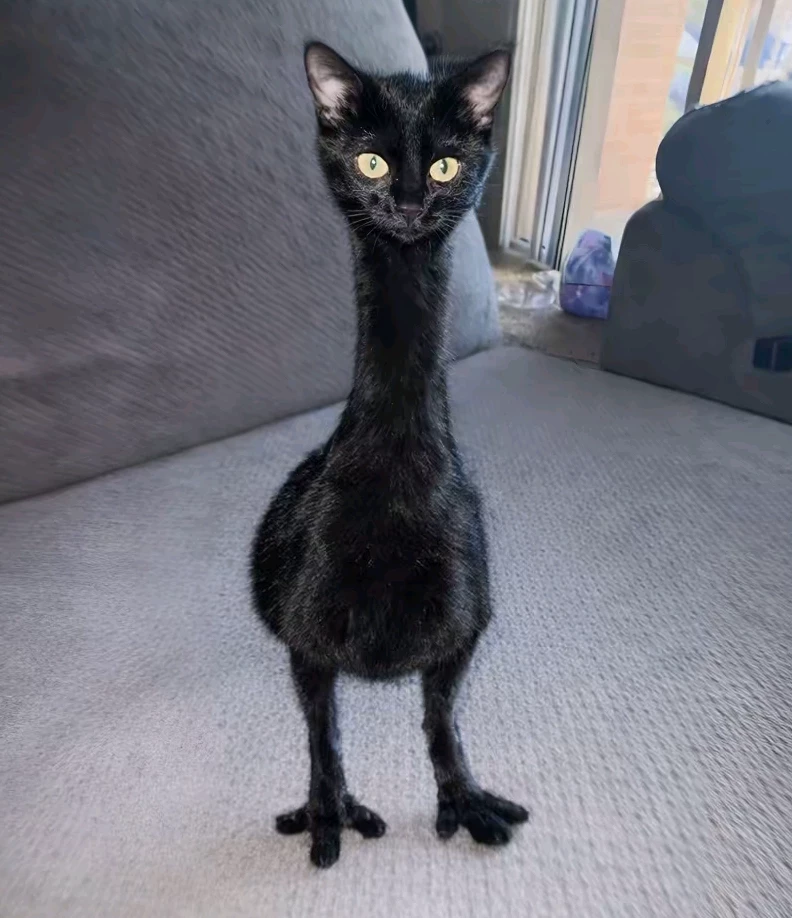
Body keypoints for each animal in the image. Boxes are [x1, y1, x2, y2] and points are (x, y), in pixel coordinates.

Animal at [250, 41, 527, 868]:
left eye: (444, 165)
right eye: (371, 162)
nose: (407, 204)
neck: (396, 467)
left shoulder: (461, 631)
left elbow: (442, 721)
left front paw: (464, 797)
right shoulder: (307, 640)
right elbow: (321, 735)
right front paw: (327, 810)